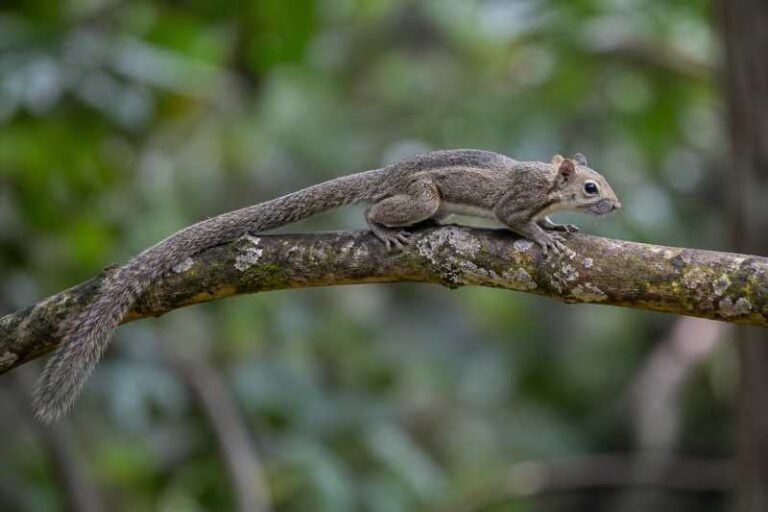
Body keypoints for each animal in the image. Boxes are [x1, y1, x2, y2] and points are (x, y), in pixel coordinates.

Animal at [33, 149, 620, 422]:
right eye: (592, 187)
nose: (615, 205)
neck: (545, 183)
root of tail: (386, 174)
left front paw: (560, 228)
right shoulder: (514, 203)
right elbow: (516, 222)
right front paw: (544, 236)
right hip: (422, 196)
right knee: (373, 210)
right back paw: (382, 228)